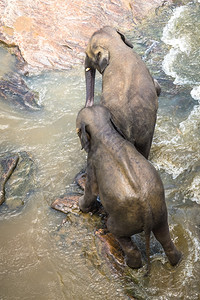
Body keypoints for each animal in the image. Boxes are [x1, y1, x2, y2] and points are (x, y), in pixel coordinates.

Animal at [76, 105, 181, 270]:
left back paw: (129, 264)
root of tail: (147, 211)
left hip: (124, 221)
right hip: (160, 213)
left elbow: (91, 190)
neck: (106, 131)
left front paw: (80, 205)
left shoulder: (92, 163)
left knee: (118, 233)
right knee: (164, 237)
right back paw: (177, 260)